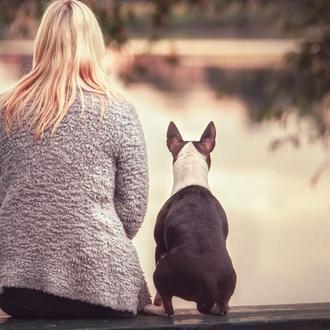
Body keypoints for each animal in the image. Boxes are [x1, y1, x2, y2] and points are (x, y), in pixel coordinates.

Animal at [146, 121, 236, 318]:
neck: (192, 179)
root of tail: (209, 283)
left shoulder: (159, 246)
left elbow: (159, 296)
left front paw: (155, 303)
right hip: (230, 280)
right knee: (222, 304)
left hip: (160, 272)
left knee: (168, 307)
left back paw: (153, 309)